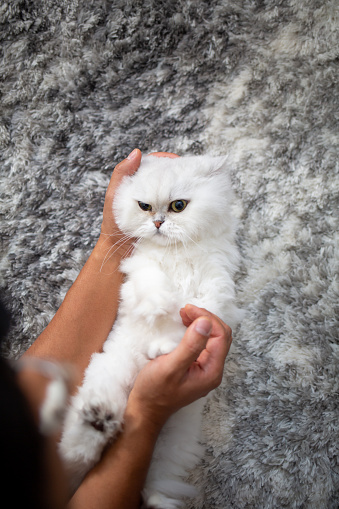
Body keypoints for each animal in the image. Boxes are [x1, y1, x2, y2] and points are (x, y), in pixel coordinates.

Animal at [59, 155, 243, 508]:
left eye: (178, 206)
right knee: (82, 451)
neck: (177, 252)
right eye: (144, 207)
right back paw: (96, 422)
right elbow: (154, 288)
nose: (157, 223)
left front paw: (165, 347)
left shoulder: (215, 291)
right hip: (110, 371)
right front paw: (161, 307)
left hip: (172, 444)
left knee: (154, 482)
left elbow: (191, 321)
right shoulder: (139, 273)